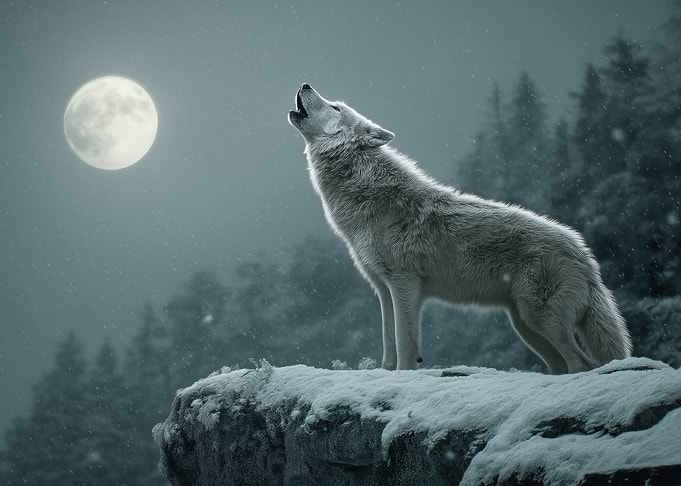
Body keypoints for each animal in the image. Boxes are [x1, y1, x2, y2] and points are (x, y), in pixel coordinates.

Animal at [288, 83, 632, 373]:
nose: (305, 84)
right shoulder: (383, 289)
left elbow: (405, 345)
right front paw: (384, 373)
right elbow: (388, 342)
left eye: (335, 107)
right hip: (526, 326)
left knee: (583, 364)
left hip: (540, 320)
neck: (365, 193)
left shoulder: (404, 284)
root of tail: (584, 253)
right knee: (563, 365)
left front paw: (402, 375)